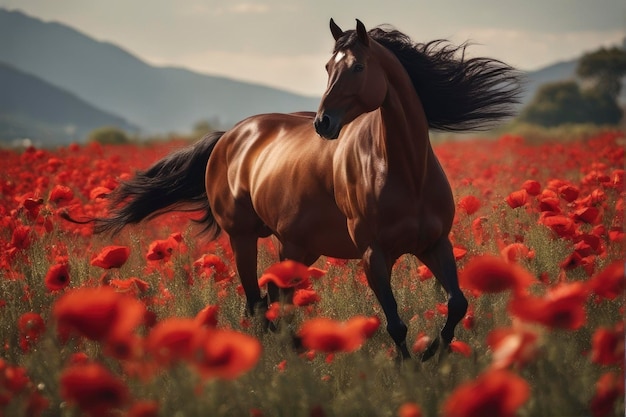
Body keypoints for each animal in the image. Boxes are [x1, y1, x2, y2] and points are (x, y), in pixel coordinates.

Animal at [85, 17, 520, 360]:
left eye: (358, 66)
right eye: (328, 66)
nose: (323, 123)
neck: (405, 171)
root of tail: (230, 136)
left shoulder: (434, 244)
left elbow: (458, 303)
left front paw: (434, 353)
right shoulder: (373, 254)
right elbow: (395, 322)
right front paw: (410, 367)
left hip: (297, 249)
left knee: (275, 300)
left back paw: (295, 349)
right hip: (244, 238)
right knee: (256, 302)